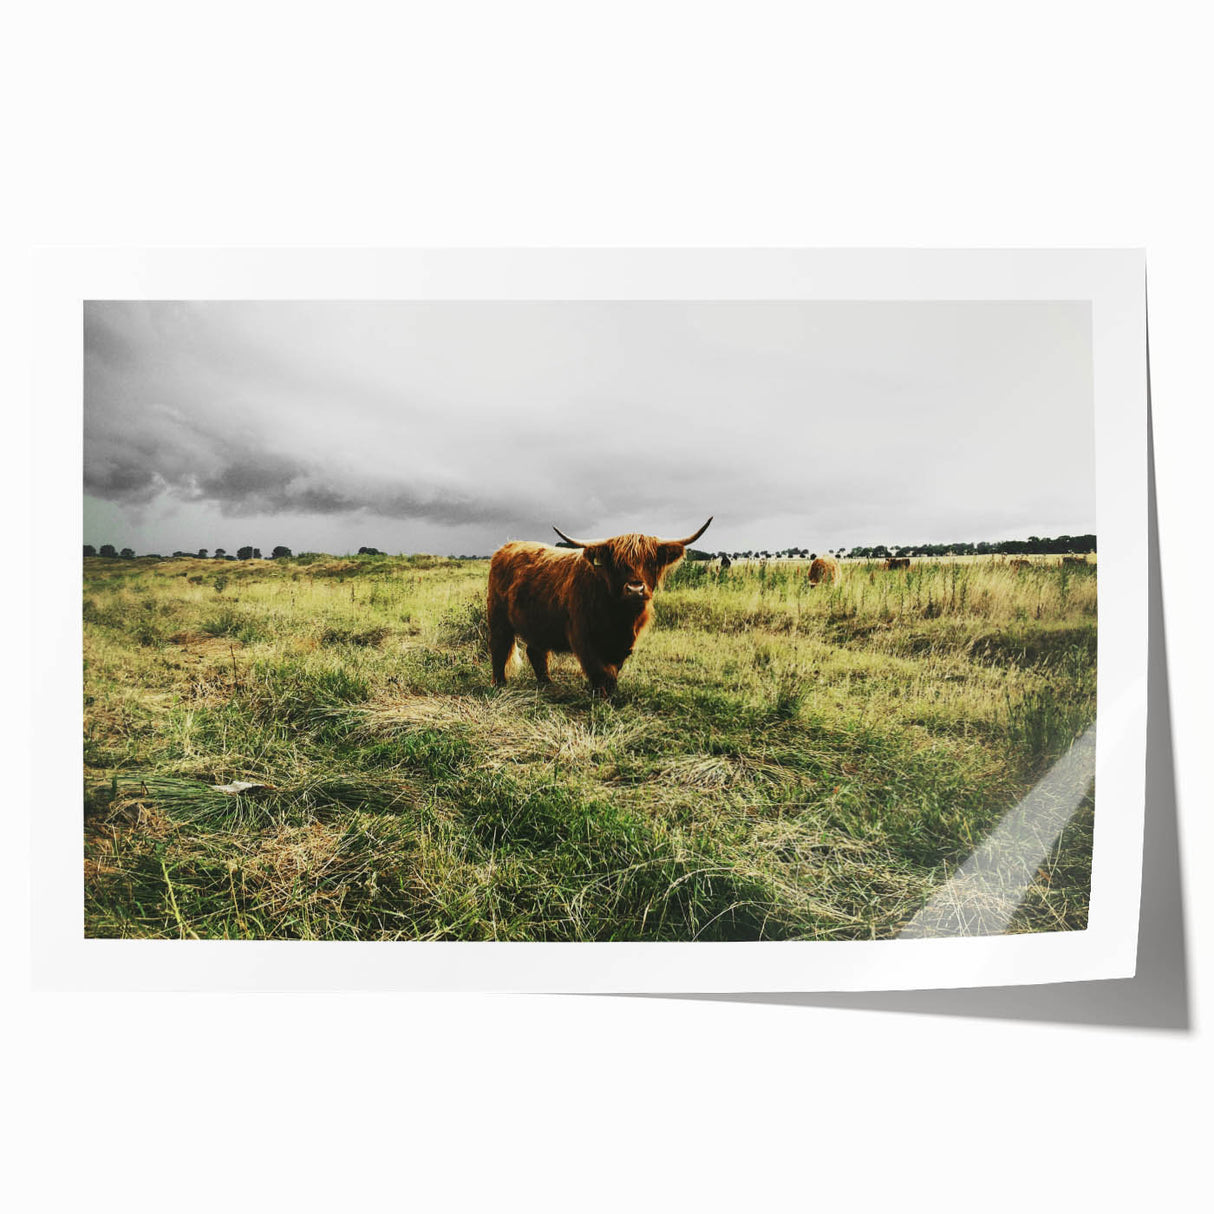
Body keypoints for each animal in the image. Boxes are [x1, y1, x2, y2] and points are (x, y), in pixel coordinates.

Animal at [487, 518, 713, 696]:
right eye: (618, 563)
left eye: (650, 562)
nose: (635, 589)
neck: (620, 617)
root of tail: (507, 546)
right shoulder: (583, 638)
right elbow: (599, 670)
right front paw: (601, 697)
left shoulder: (623, 644)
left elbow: (613, 671)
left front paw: (611, 694)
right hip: (498, 617)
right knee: (499, 648)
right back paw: (500, 685)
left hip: (539, 623)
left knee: (536, 652)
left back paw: (547, 684)